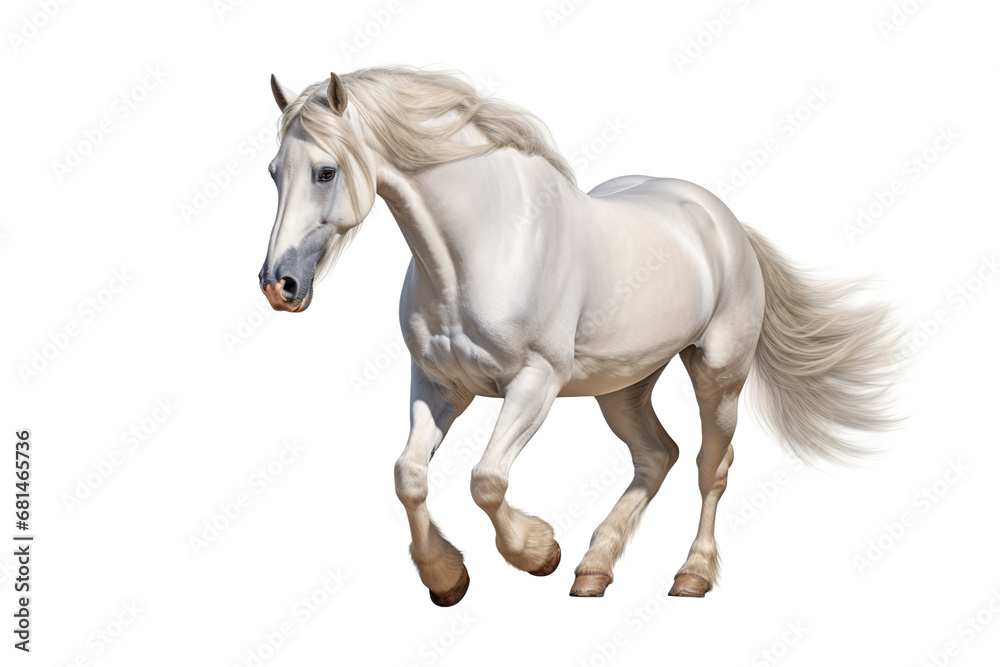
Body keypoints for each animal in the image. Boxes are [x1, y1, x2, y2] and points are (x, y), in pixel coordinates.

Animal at [257, 66, 902, 606]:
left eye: (325, 171)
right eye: (273, 172)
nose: (278, 285)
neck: (482, 249)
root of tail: (725, 223)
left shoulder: (534, 383)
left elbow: (487, 480)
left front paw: (538, 552)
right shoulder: (438, 385)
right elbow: (408, 476)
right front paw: (447, 579)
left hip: (719, 376)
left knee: (710, 466)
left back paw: (690, 575)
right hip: (623, 387)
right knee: (656, 455)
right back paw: (594, 570)